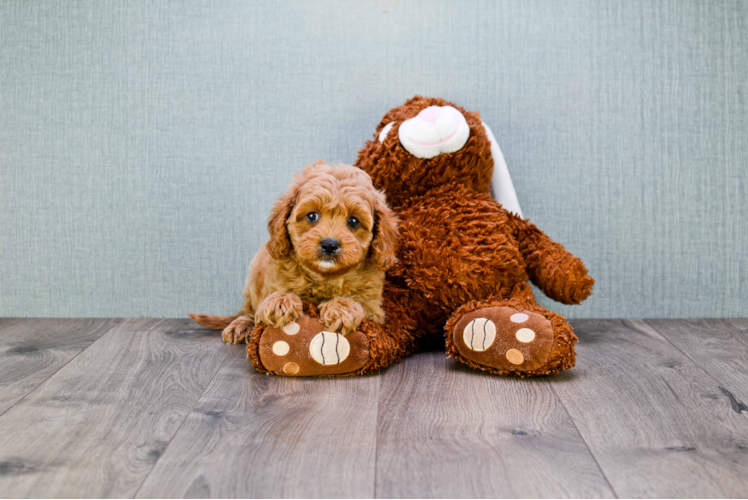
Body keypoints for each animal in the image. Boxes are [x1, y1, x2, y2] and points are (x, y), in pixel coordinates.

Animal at [190, 160, 400, 344]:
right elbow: (272, 298)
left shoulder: (375, 309)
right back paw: (240, 326)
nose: (329, 244)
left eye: (354, 221)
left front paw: (342, 308)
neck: (324, 276)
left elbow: (360, 303)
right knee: (249, 310)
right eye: (312, 216)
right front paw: (281, 301)